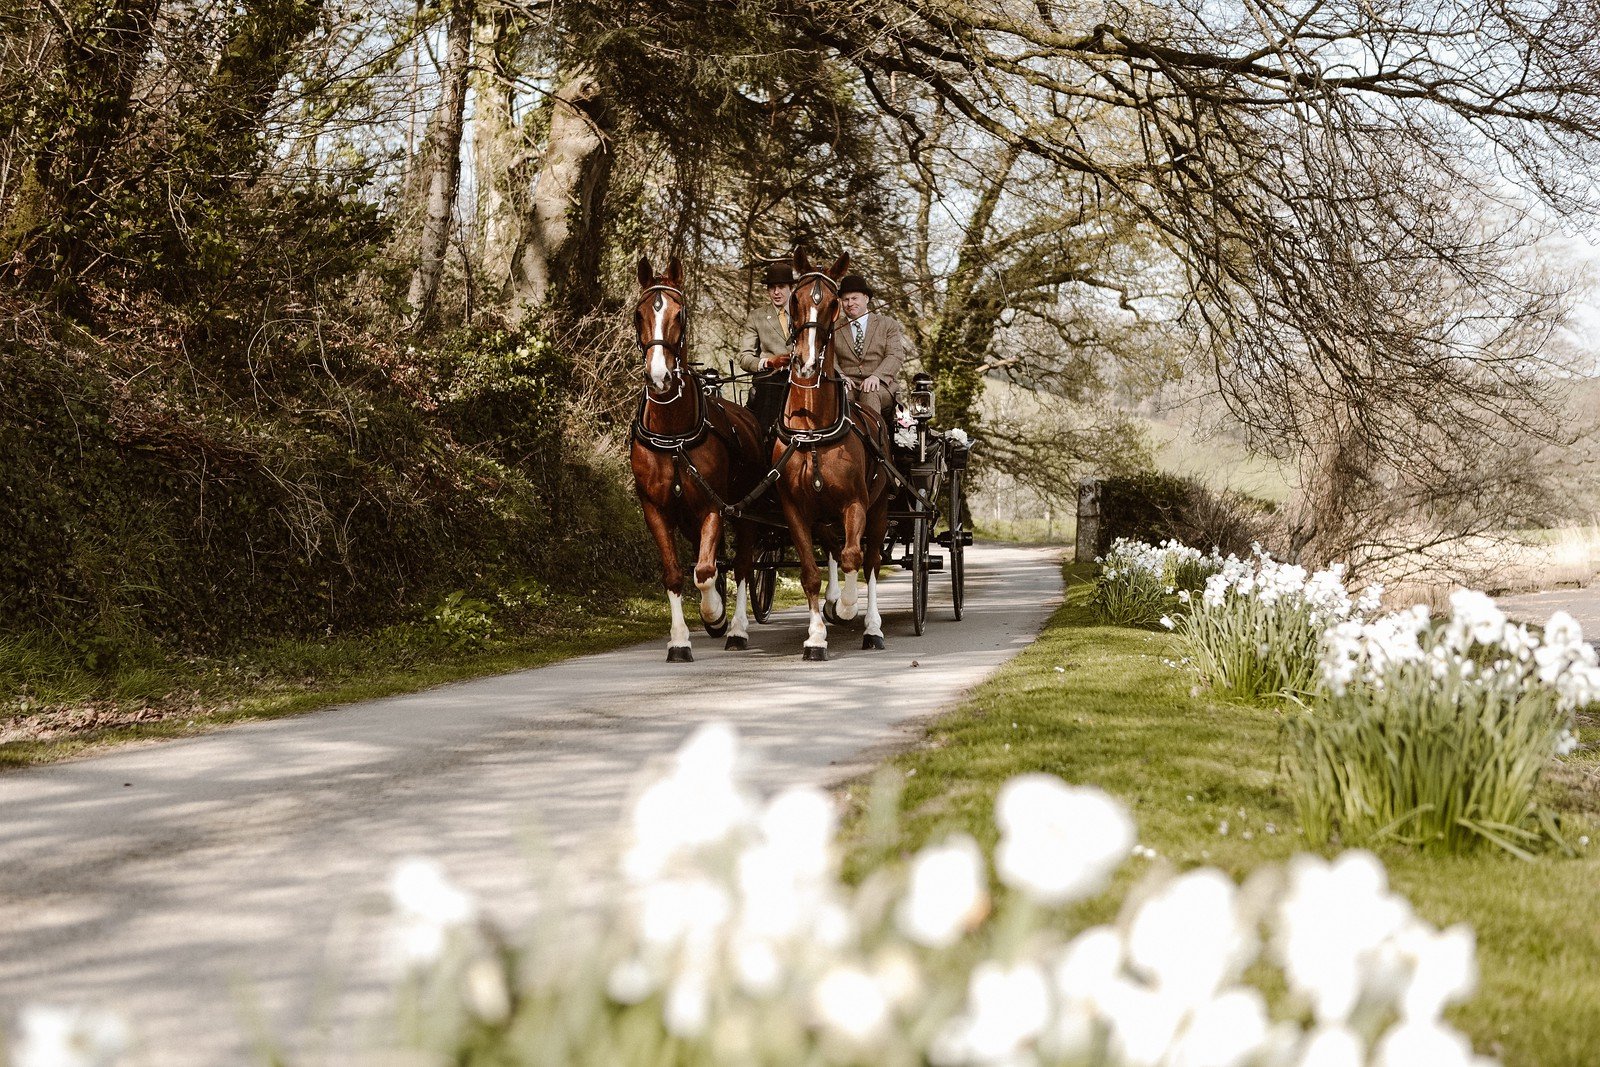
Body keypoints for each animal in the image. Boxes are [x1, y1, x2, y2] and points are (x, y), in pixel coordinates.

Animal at [627, 255, 764, 659]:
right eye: (639, 313)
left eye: (680, 313)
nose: (658, 377)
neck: (674, 436)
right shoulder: (656, 509)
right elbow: (676, 573)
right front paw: (679, 640)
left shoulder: (713, 507)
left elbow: (704, 572)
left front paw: (714, 614)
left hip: (747, 511)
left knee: (744, 566)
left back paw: (736, 630)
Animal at [771, 252, 896, 659]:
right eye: (794, 300)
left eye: (832, 302)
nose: (807, 363)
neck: (813, 428)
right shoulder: (795, 510)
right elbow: (810, 573)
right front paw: (815, 636)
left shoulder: (855, 504)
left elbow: (854, 558)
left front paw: (846, 608)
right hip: (825, 518)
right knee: (834, 552)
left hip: (879, 509)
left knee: (870, 562)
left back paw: (871, 627)